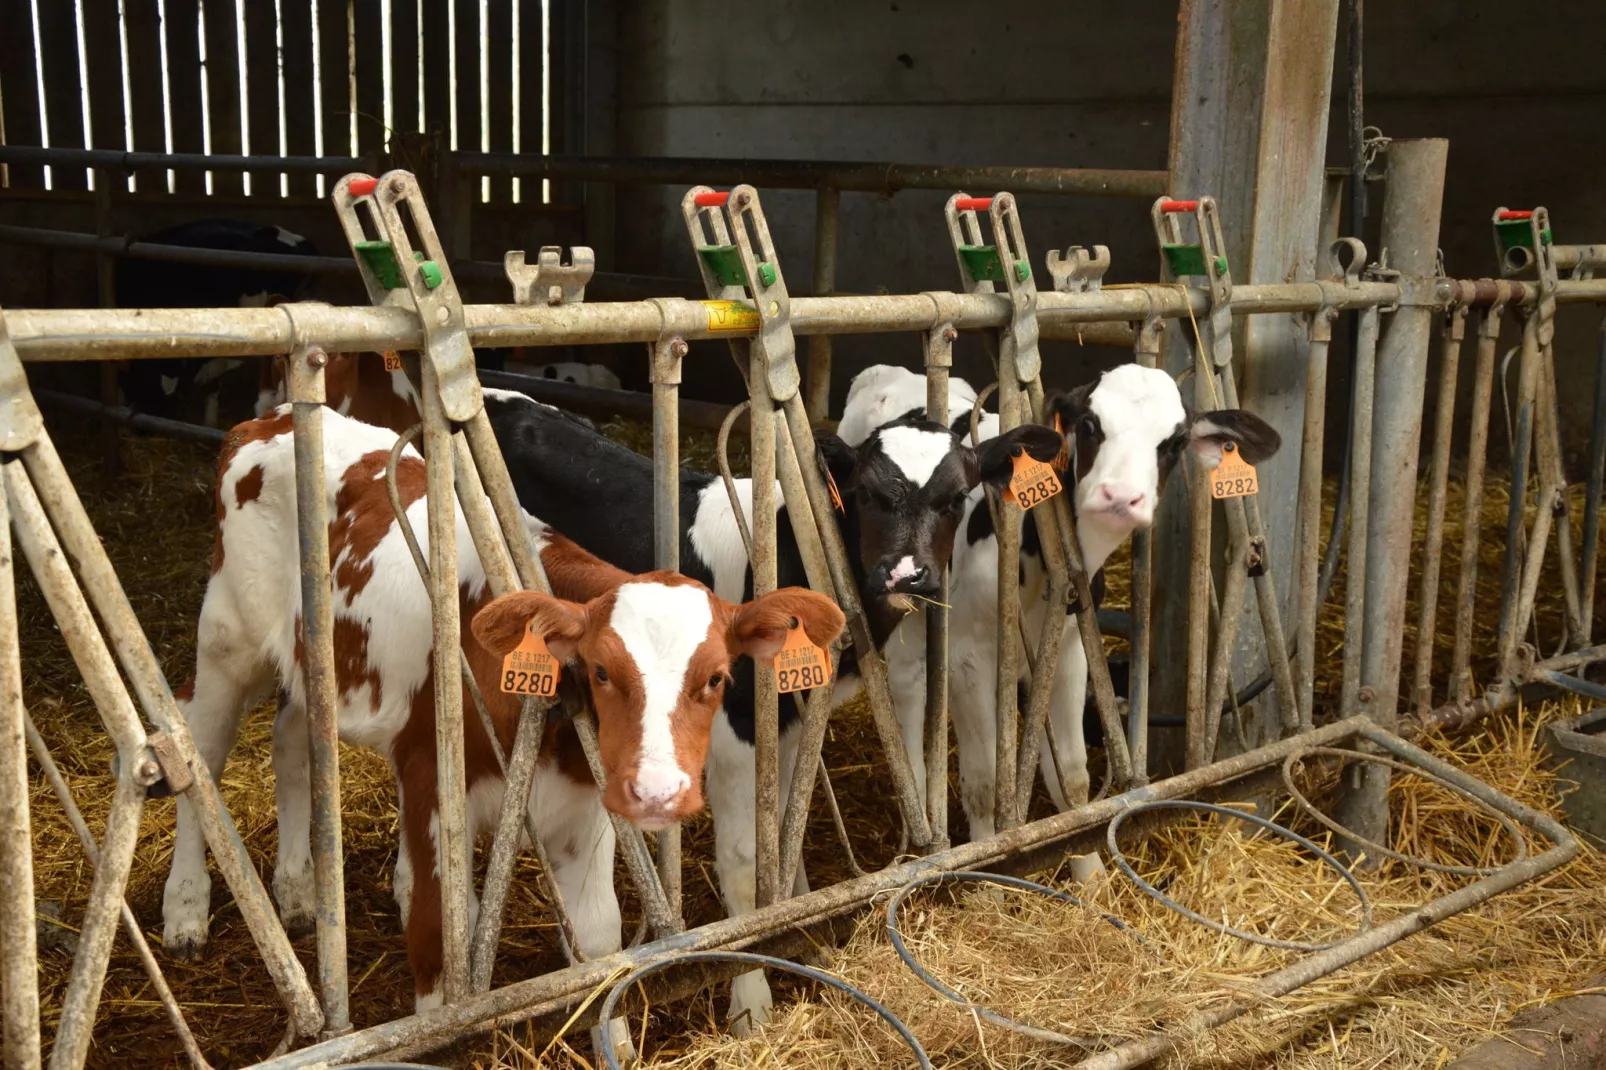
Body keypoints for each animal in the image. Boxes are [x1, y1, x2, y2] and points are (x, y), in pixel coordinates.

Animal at [158, 401, 847, 1008]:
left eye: (717, 678)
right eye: (601, 671)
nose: (658, 791)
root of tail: (269, 419)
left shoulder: (584, 809)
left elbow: (597, 941)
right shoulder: (435, 788)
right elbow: (440, 950)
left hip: (315, 665)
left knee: (293, 742)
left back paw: (301, 889)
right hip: (227, 641)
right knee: (202, 754)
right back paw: (186, 908)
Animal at [481, 387, 1059, 1021]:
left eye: (956, 497)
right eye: (866, 494)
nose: (906, 574)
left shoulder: (791, 719)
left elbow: (784, 833)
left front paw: (801, 933)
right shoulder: (736, 727)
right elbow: (743, 861)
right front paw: (751, 1002)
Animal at [841, 363, 1278, 835]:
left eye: (1176, 442)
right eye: (1088, 424)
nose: (1120, 496)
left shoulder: (1069, 646)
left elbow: (1070, 773)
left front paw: (1083, 848)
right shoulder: (966, 656)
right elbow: (984, 784)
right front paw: (988, 852)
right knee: (908, 693)